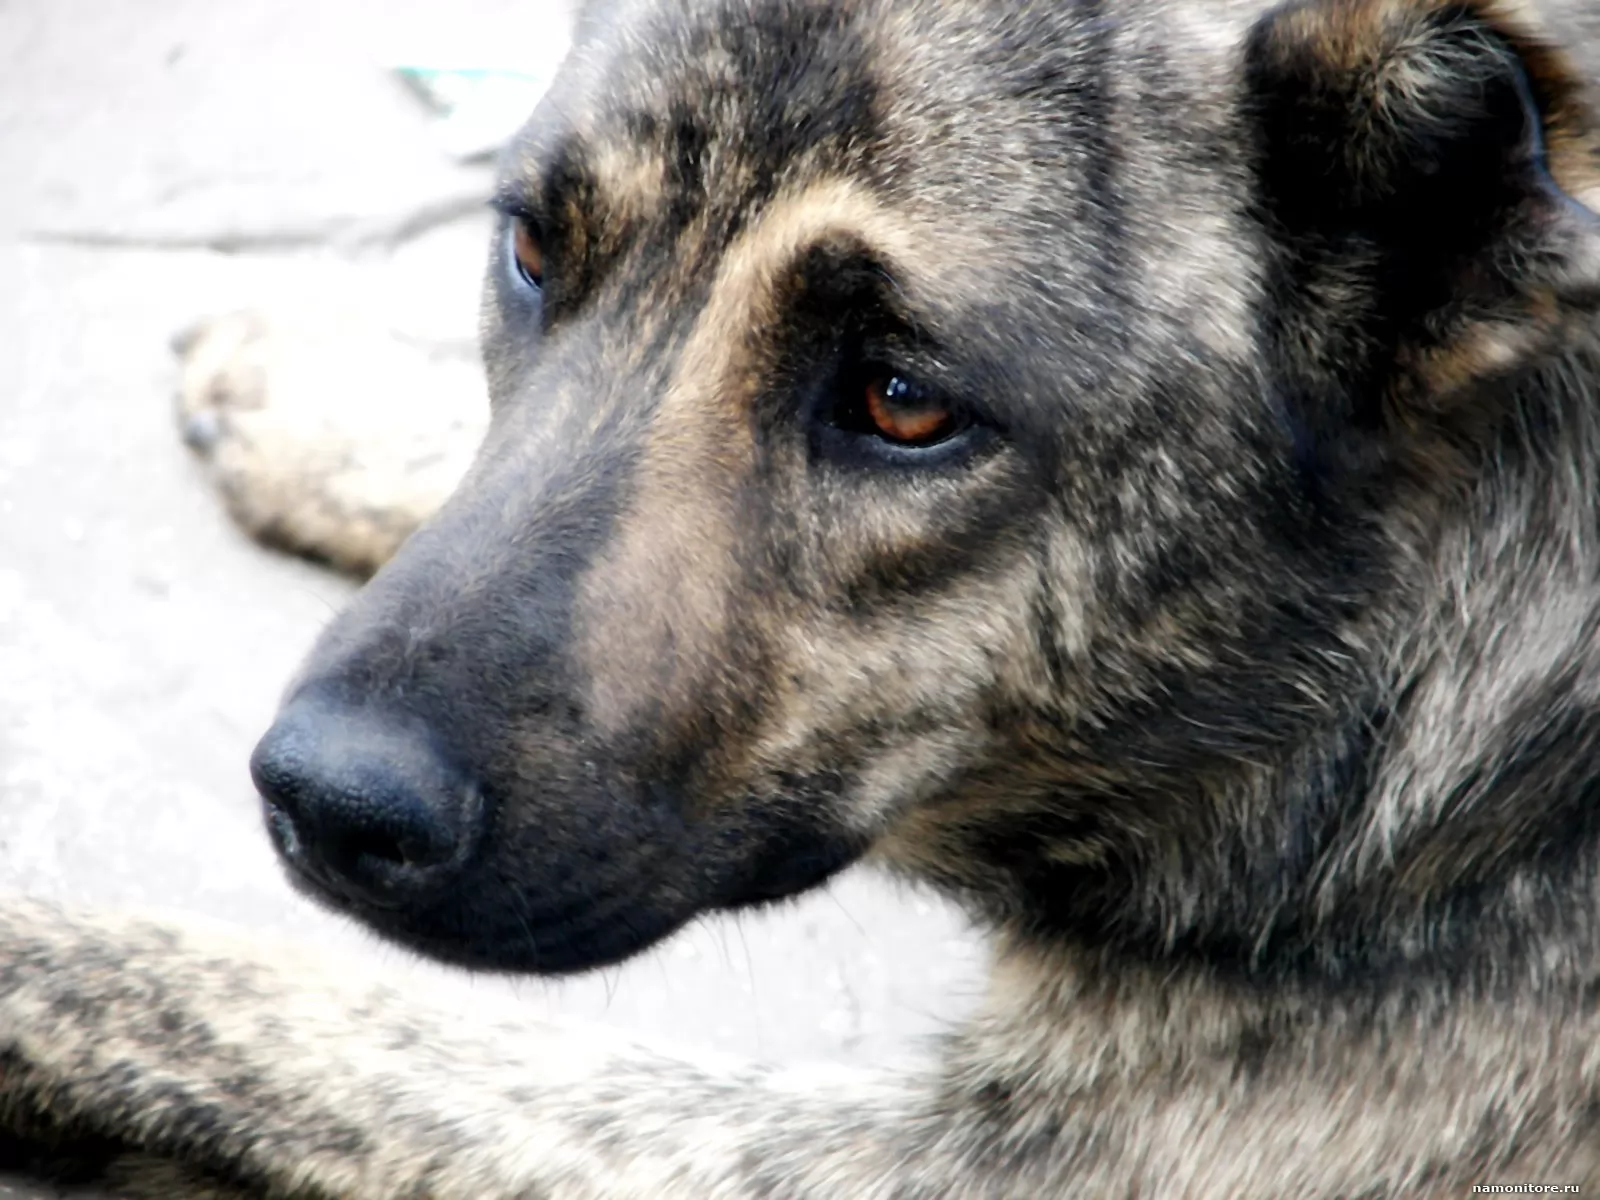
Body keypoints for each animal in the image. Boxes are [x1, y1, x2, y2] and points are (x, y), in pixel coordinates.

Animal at [3, 2, 1600, 1196]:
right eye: (528, 251)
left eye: (902, 402)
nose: (327, 801)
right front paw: (321, 395)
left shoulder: (986, 1162)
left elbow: (367, 1036)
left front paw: (41, 958)